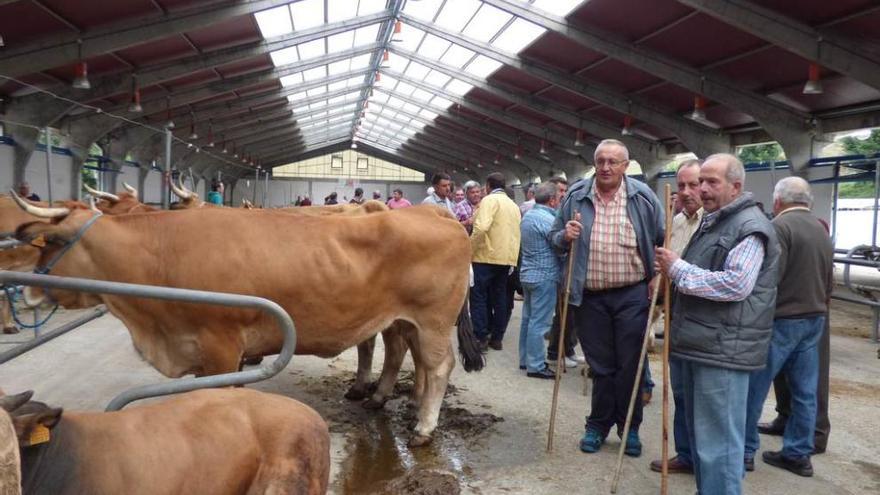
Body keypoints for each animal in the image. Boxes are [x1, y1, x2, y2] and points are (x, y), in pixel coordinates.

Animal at [12, 195, 482, 446]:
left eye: (49, 240)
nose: (27, 290)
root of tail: (434, 215)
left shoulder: (219, 344)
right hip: (402, 320)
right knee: (404, 353)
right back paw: (384, 399)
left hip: (432, 320)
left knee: (437, 366)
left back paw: (423, 426)